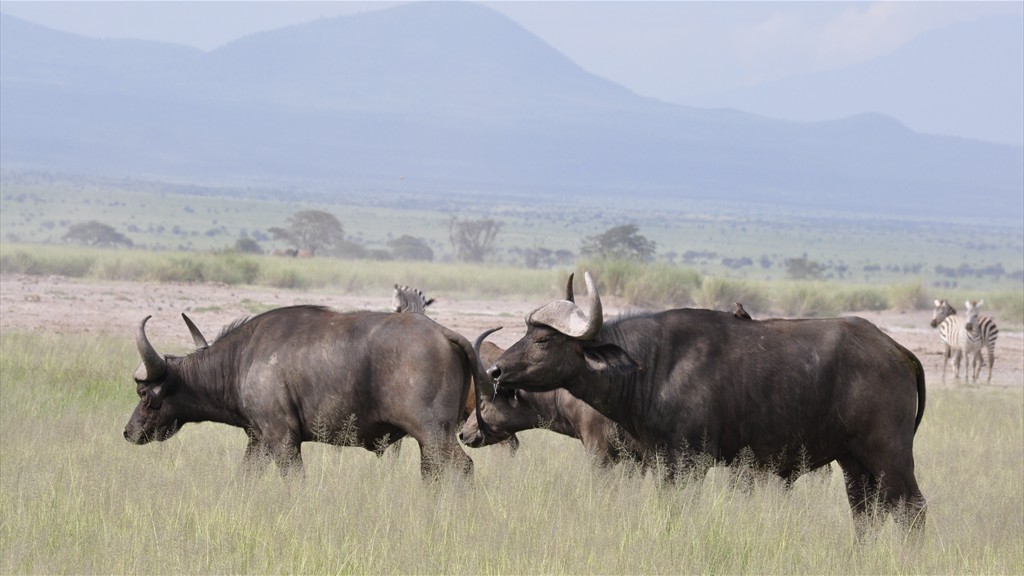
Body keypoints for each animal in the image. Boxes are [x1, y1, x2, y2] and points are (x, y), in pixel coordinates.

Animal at [122, 305, 483, 475]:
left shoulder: (283, 439)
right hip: (429, 442)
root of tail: (443, 332)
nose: (128, 432)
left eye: (144, 395)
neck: (242, 358)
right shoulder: (258, 440)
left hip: (434, 434)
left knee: (463, 468)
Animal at [485, 270, 929, 532]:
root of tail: (898, 352)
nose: (495, 371)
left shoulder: (688, 463)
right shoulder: (659, 462)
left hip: (889, 456)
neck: (652, 366)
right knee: (865, 514)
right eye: (527, 332)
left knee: (913, 509)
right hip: (853, 464)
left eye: (543, 339)